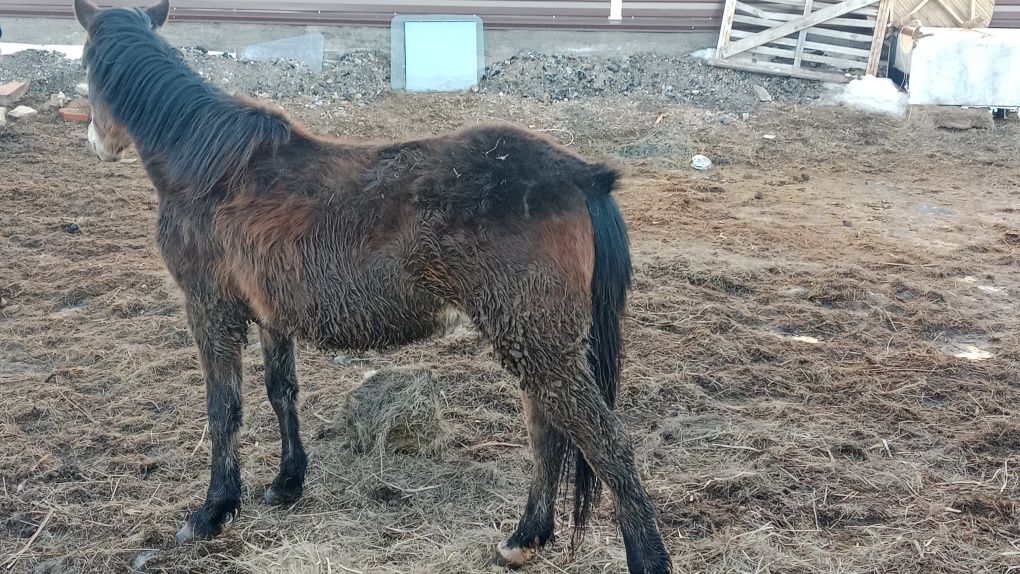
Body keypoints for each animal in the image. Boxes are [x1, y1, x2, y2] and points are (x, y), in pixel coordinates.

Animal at [75, 2, 673, 570]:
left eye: (84, 63)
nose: (95, 143)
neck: (206, 163)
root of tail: (581, 175)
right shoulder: (270, 314)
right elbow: (280, 392)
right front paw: (287, 483)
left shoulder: (210, 308)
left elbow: (224, 408)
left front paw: (214, 511)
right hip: (535, 344)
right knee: (548, 434)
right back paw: (524, 539)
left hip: (539, 343)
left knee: (605, 442)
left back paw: (640, 556)